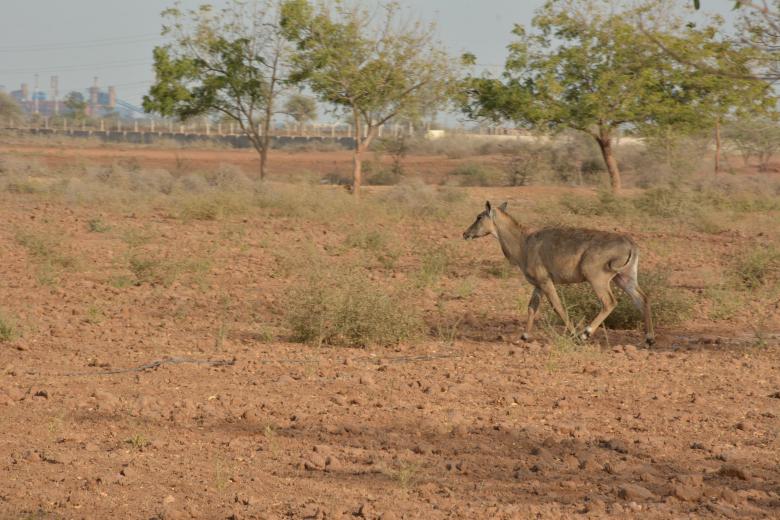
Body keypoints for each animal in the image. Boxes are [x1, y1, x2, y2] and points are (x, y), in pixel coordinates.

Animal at [463, 201, 654, 346]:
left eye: (479, 217)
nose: (465, 233)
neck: (524, 242)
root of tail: (630, 244)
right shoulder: (538, 285)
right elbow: (532, 307)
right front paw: (524, 336)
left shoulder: (546, 282)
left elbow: (558, 307)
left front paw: (574, 334)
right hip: (624, 278)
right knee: (642, 299)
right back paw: (649, 338)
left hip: (597, 278)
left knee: (609, 302)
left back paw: (585, 334)